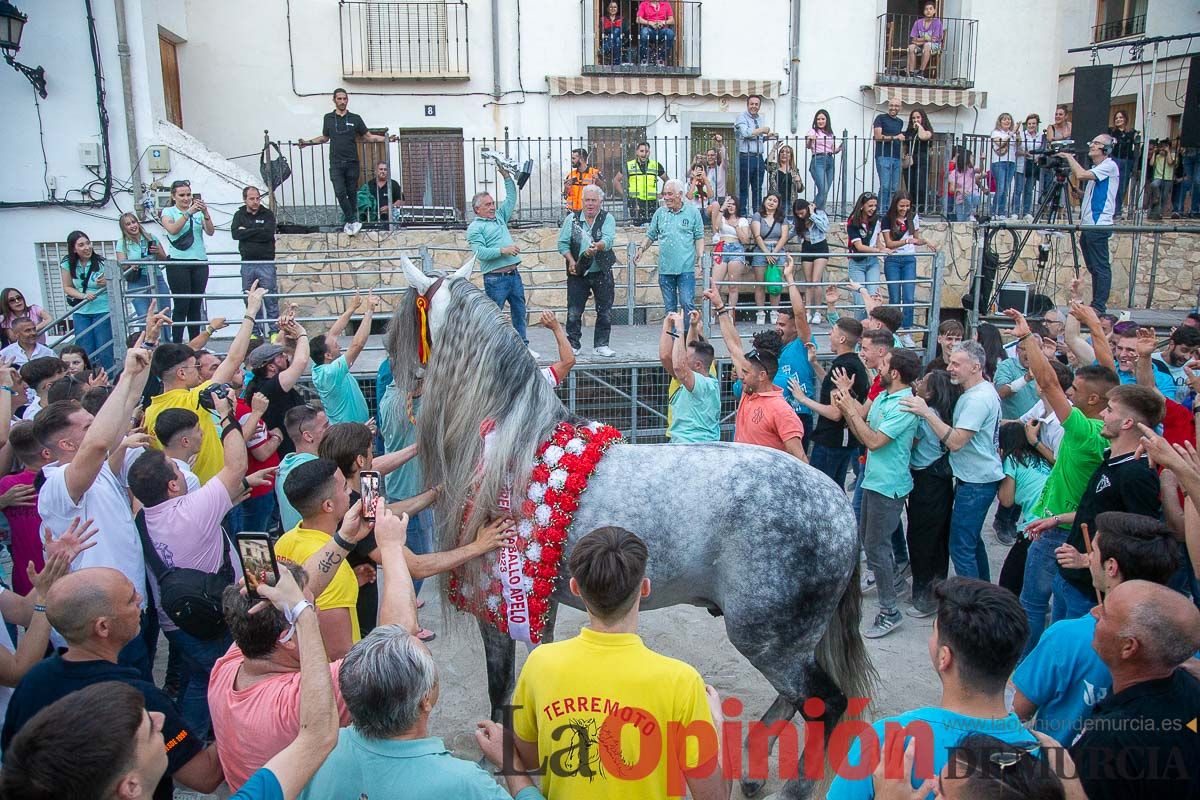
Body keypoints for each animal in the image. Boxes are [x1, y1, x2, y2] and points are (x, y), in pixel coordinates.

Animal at [388, 260, 878, 796]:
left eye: (406, 326)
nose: (396, 385)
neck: (514, 451)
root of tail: (837, 504)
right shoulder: (541, 604)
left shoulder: (501, 604)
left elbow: (501, 689)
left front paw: (501, 755)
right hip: (788, 642)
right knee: (793, 702)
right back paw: (751, 769)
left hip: (768, 639)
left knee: (825, 704)